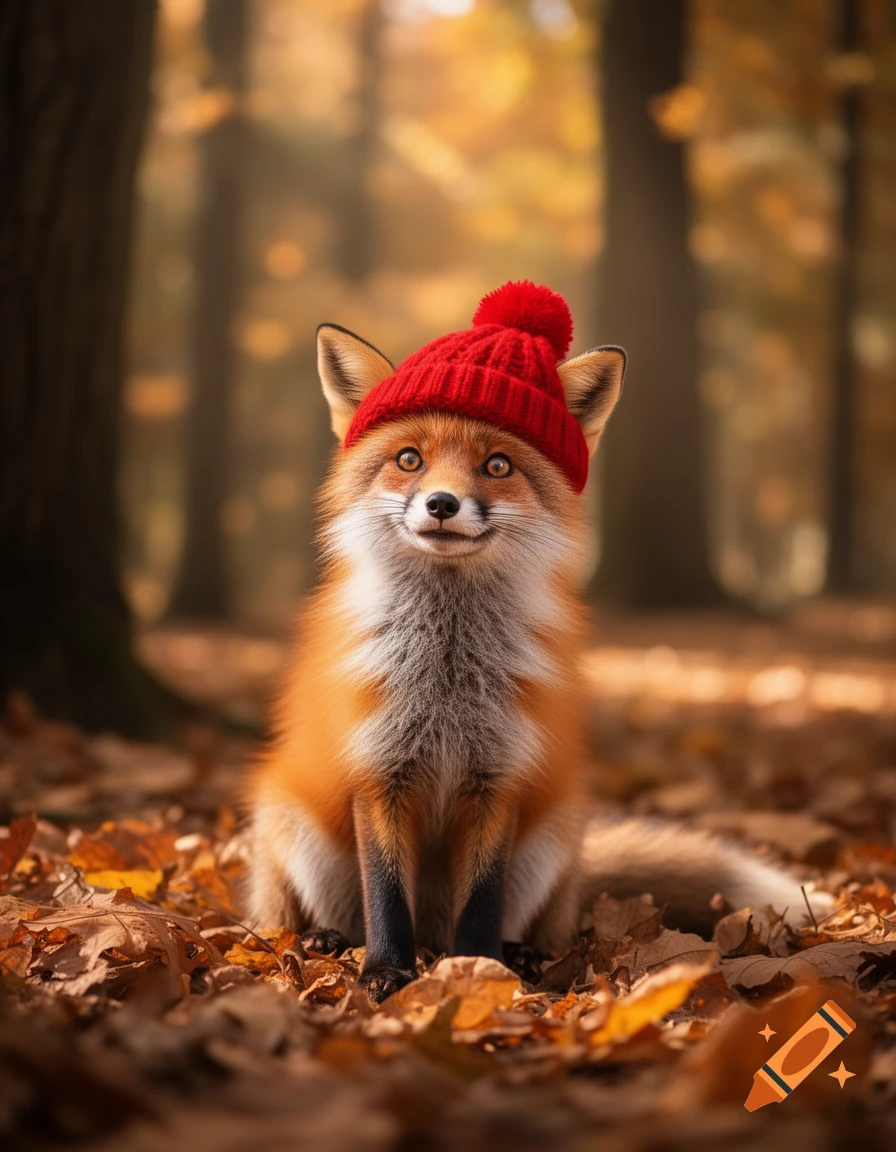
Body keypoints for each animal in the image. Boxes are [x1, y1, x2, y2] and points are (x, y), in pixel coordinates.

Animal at [244, 282, 829, 1003]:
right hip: (293, 821)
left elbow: (482, 902)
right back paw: (325, 941)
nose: (442, 503)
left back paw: (520, 954)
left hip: (551, 833)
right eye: (409, 459)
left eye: (497, 464)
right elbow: (384, 896)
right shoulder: (380, 771)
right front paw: (386, 972)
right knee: (305, 918)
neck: (447, 674)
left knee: (530, 921)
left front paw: (481, 971)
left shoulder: (499, 777)